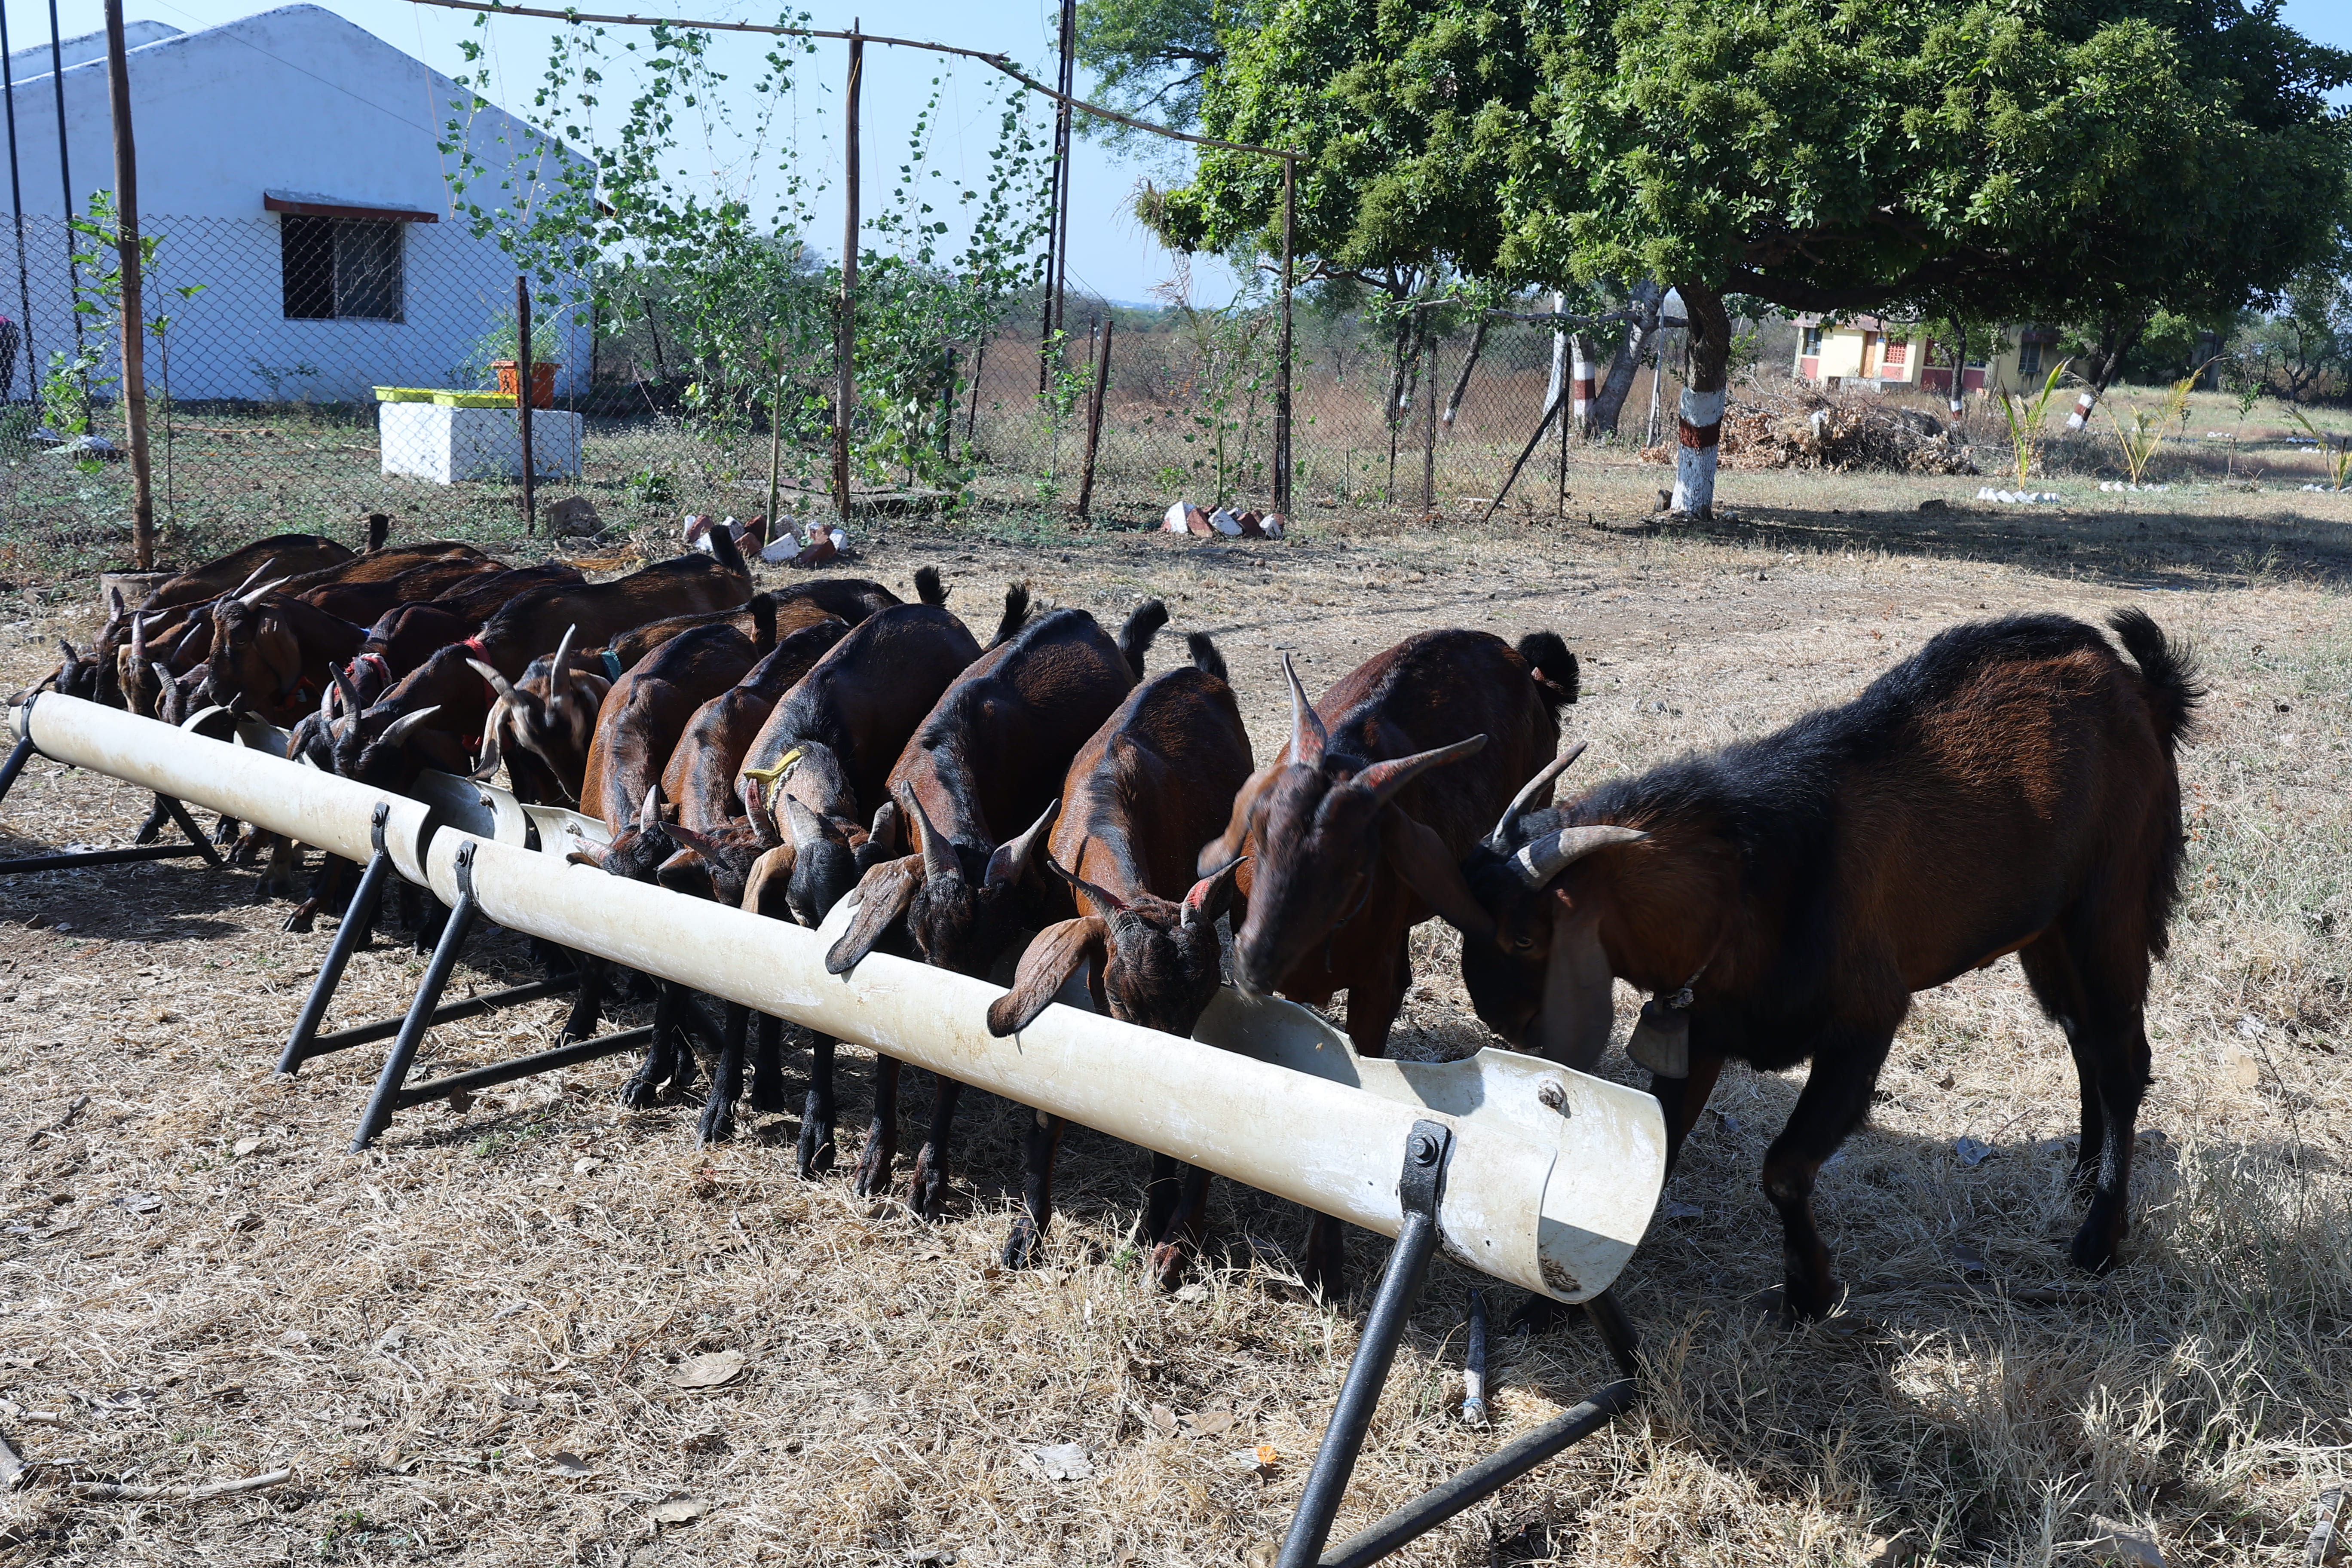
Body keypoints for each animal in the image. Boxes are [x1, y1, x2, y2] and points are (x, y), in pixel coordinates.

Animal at [1444, 611, 2200, 1322]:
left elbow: (1784, 1167)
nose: (1501, 1020)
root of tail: (2143, 690)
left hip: (2109, 908)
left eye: (1524, 937)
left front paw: (1811, 1292)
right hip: (2047, 931)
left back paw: (2099, 1239)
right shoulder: (1703, 1030)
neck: (1750, 881)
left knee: (2124, 1058)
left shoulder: (1865, 1024)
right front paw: (1551, 1305)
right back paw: (2083, 1175)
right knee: (2084, 1040)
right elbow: (1658, 1148)